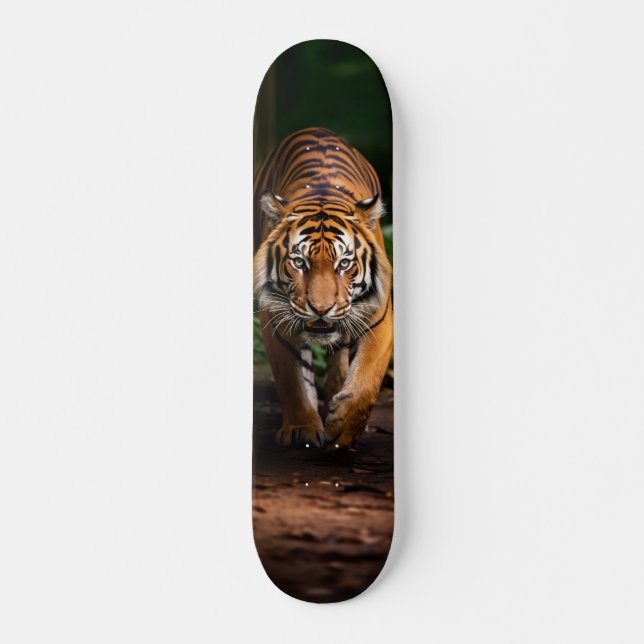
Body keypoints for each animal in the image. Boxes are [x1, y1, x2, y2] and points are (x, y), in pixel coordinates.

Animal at [253, 127, 393, 449]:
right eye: (298, 262)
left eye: (344, 263)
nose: (320, 308)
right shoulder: (275, 316)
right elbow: (291, 379)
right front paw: (301, 428)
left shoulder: (380, 314)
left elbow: (368, 377)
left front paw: (344, 427)